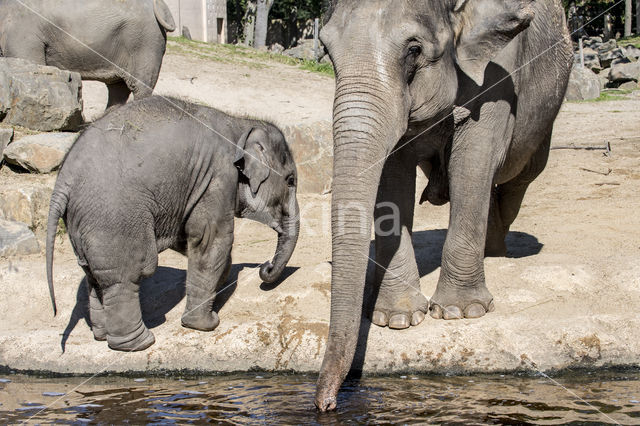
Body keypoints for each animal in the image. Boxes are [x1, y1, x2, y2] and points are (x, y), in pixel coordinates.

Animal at [0, 0, 176, 110]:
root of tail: (160, 6)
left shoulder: (23, 34)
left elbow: (32, 64)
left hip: (145, 42)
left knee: (139, 86)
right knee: (117, 87)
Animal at [45, 96, 300, 352]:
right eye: (290, 181)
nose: (265, 266)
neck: (240, 123)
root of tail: (62, 183)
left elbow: (187, 238)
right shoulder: (218, 177)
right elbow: (211, 239)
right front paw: (206, 324)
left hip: (82, 223)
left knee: (95, 277)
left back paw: (101, 336)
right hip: (113, 218)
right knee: (126, 275)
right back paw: (140, 343)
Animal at [318, 0, 572, 410]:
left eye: (414, 50)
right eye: (326, 50)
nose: (326, 405)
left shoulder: (498, 72)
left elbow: (473, 162)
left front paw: (460, 313)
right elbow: (393, 174)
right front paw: (396, 320)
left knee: (517, 179)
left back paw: (497, 254)